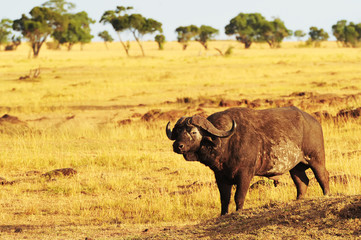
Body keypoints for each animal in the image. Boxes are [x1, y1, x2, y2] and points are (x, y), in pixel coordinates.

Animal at [166, 106, 330, 215]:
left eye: (193, 132)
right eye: (178, 131)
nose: (177, 146)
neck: (227, 143)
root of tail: (314, 122)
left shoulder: (245, 174)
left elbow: (239, 197)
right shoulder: (220, 176)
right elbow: (224, 198)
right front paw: (223, 214)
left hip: (316, 159)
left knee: (323, 177)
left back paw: (326, 195)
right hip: (296, 167)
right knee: (302, 182)